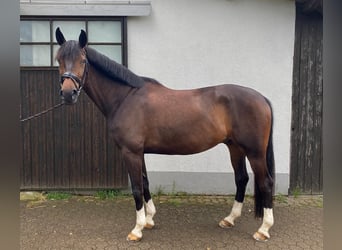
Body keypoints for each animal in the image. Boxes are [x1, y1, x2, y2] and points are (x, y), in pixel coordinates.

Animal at [56, 27, 276, 242]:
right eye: (58, 59)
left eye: (82, 60)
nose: (68, 94)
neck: (125, 98)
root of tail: (262, 98)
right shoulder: (139, 152)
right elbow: (145, 183)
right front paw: (149, 220)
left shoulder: (130, 152)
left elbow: (136, 188)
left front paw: (136, 230)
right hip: (234, 147)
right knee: (241, 179)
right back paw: (229, 219)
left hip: (254, 152)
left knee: (265, 182)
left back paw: (263, 229)